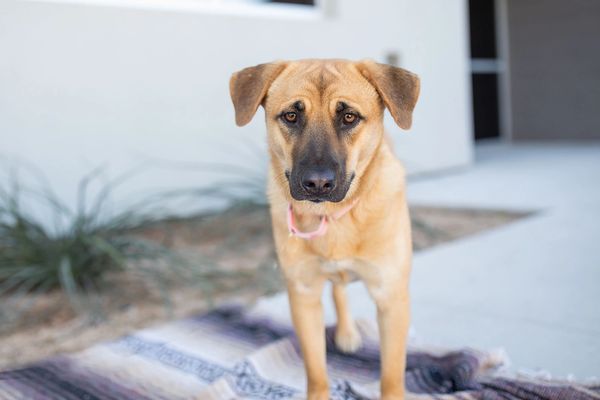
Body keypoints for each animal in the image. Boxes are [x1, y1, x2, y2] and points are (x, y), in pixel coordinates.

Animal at [227, 59, 420, 400]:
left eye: (349, 117)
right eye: (291, 115)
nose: (317, 183)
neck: (332, 219)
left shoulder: (391, 296)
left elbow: (391, 375)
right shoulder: (303, 294)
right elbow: (316, 370)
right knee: (338, 288)